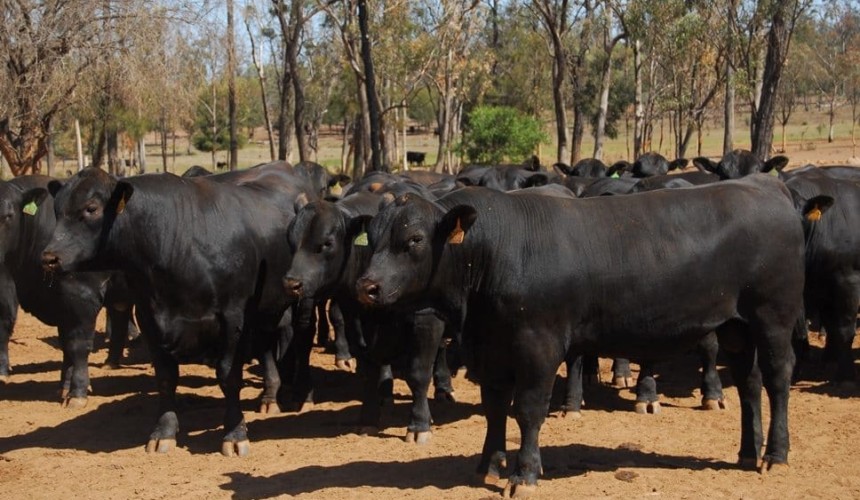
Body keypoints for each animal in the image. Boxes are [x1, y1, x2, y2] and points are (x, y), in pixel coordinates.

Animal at [0, 175, 133, 408]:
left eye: (8, 216)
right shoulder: (61, 304)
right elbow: (66, 346)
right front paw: (64, 386)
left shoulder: (82, 297)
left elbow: (78, 345)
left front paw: (77, 392)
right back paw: (110, 362)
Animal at [41, 165, 312, 456]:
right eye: (57, 210)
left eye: (91, 208)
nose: (49, 258)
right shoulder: (148, 317)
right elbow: (166, 378)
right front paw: (164, 432)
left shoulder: (233, 318)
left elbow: (229, 376)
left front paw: (234, 433)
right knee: (265, 346)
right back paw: (269, 396)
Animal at [356, 177, 804, 496]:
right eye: (373, 239)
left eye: (414, 239)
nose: (367, 286)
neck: (496, 251)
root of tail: (768, 185)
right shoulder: (491, 348)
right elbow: (495, 407)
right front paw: (489, 464)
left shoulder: (539, 345)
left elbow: (528, 410)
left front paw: (523, 474)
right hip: (737, 327)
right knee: (749, 382)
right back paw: (747, 452)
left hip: (773, 317)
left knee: (778, 379)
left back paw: (776, 454)